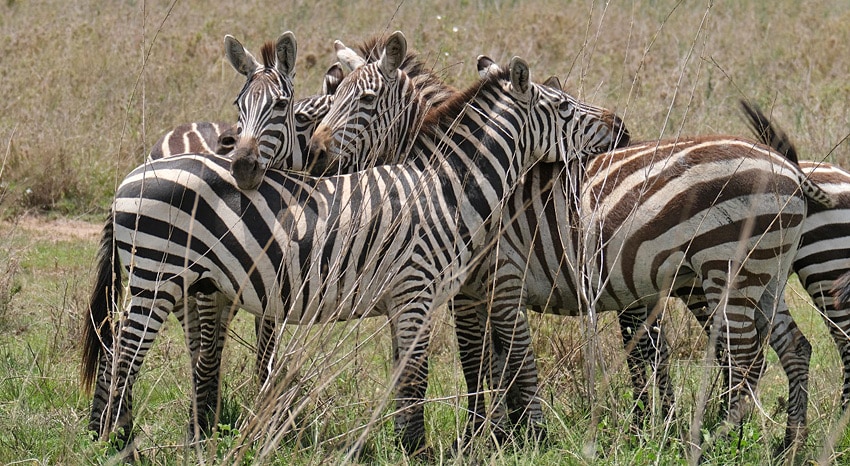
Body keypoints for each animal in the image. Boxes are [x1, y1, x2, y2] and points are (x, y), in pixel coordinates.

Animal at [80, 41, 625, 455]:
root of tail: (132, 175)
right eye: (563, 107)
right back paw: (119, 444)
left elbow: (408, 378)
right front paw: (419, 451)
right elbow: (417, 378)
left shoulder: (412, 298)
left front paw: (411, 445)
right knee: (124, 354)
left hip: (173, 280)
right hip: (158, 275)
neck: (446, 188)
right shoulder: (416, 291)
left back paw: (111, 437)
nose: (620, 125)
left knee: (119, 350)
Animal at [305, 38, 829, 453]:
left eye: (365, 100)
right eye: (332, 100)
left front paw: (505, 437)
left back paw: (721, 438)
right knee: (790, 346)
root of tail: (787, 167)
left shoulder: (495, 280)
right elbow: (489, 364)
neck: (460, 180)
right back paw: (787, 441)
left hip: (728, 270)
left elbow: (494, 360)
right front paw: (495, 435)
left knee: (743, 355)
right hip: (761, 274)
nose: (315, 154)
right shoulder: (478, 290)